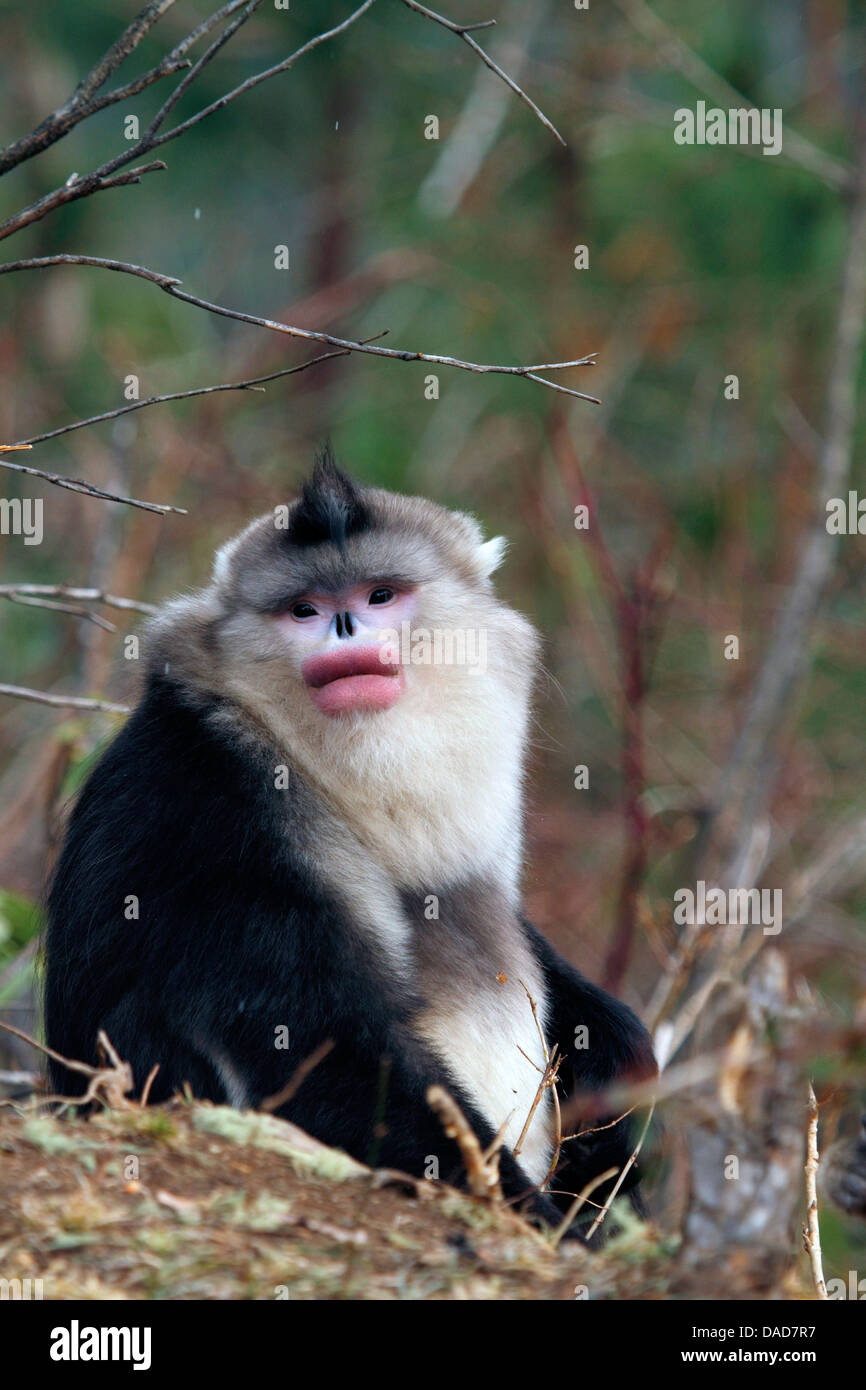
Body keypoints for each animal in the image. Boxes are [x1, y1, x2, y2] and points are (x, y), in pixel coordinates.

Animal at [44, 451, 656, 1234]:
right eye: (303, 609)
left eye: (380, 594)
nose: (342, 625)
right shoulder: (213, 800)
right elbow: (327, 1053)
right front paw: (540, 1222)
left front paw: (615, 1067)